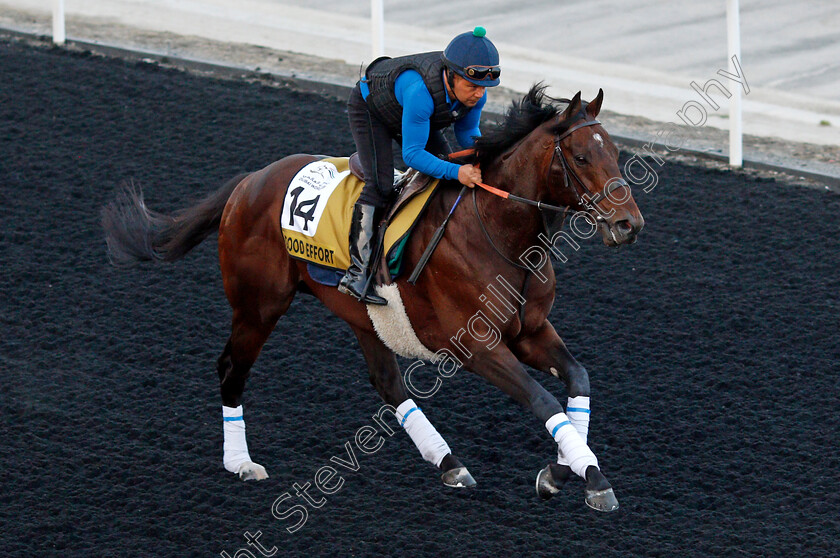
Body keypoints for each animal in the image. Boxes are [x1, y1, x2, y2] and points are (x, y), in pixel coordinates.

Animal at [103, 85, 644, 516]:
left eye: (616, 152)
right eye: (580, 156)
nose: (629, 224)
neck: (502, 238)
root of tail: (249, 181)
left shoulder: (530, 331)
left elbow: (578, 378)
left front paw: (563, 472)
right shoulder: (474, 345)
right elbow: (542, 398)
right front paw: (592, 477)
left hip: (362, 316)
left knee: (387, 383)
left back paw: (448, 462)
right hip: (258, 305)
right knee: (231, 368)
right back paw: (240, 462)